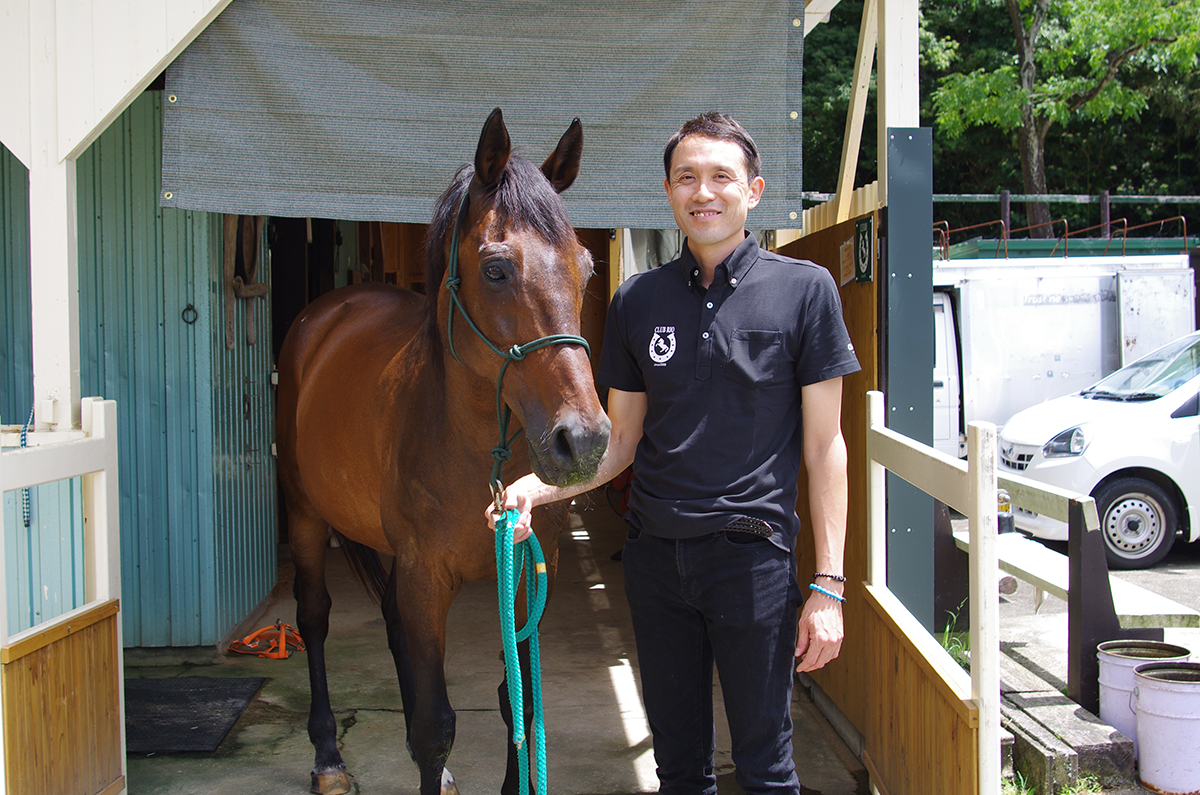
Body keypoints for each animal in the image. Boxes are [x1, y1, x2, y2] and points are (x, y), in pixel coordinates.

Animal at [274, 110, 609, 795]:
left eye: (586, 268)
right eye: (496, 269)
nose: (584, 440)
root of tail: (326, 312)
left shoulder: (528, 571)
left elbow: (517, 702)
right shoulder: (426, 578)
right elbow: (435, 726)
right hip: (304, 515)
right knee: (314, 618)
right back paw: (327, 757)